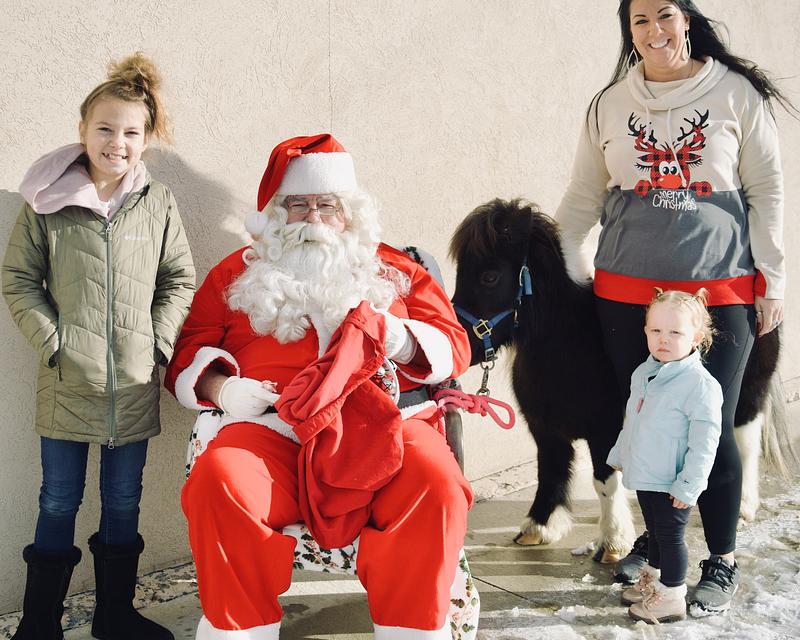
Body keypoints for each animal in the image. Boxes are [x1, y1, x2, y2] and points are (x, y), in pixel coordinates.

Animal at [449, 198, 790, 563]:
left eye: (489, 276)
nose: (457, 344)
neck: (571, 344)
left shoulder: (605, 429)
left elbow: (604, 480)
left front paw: (612, 544)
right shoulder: (545, 428)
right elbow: (550, 471)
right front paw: (539, 527)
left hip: (745, 397)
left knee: (745, 444)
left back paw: (743, 508)